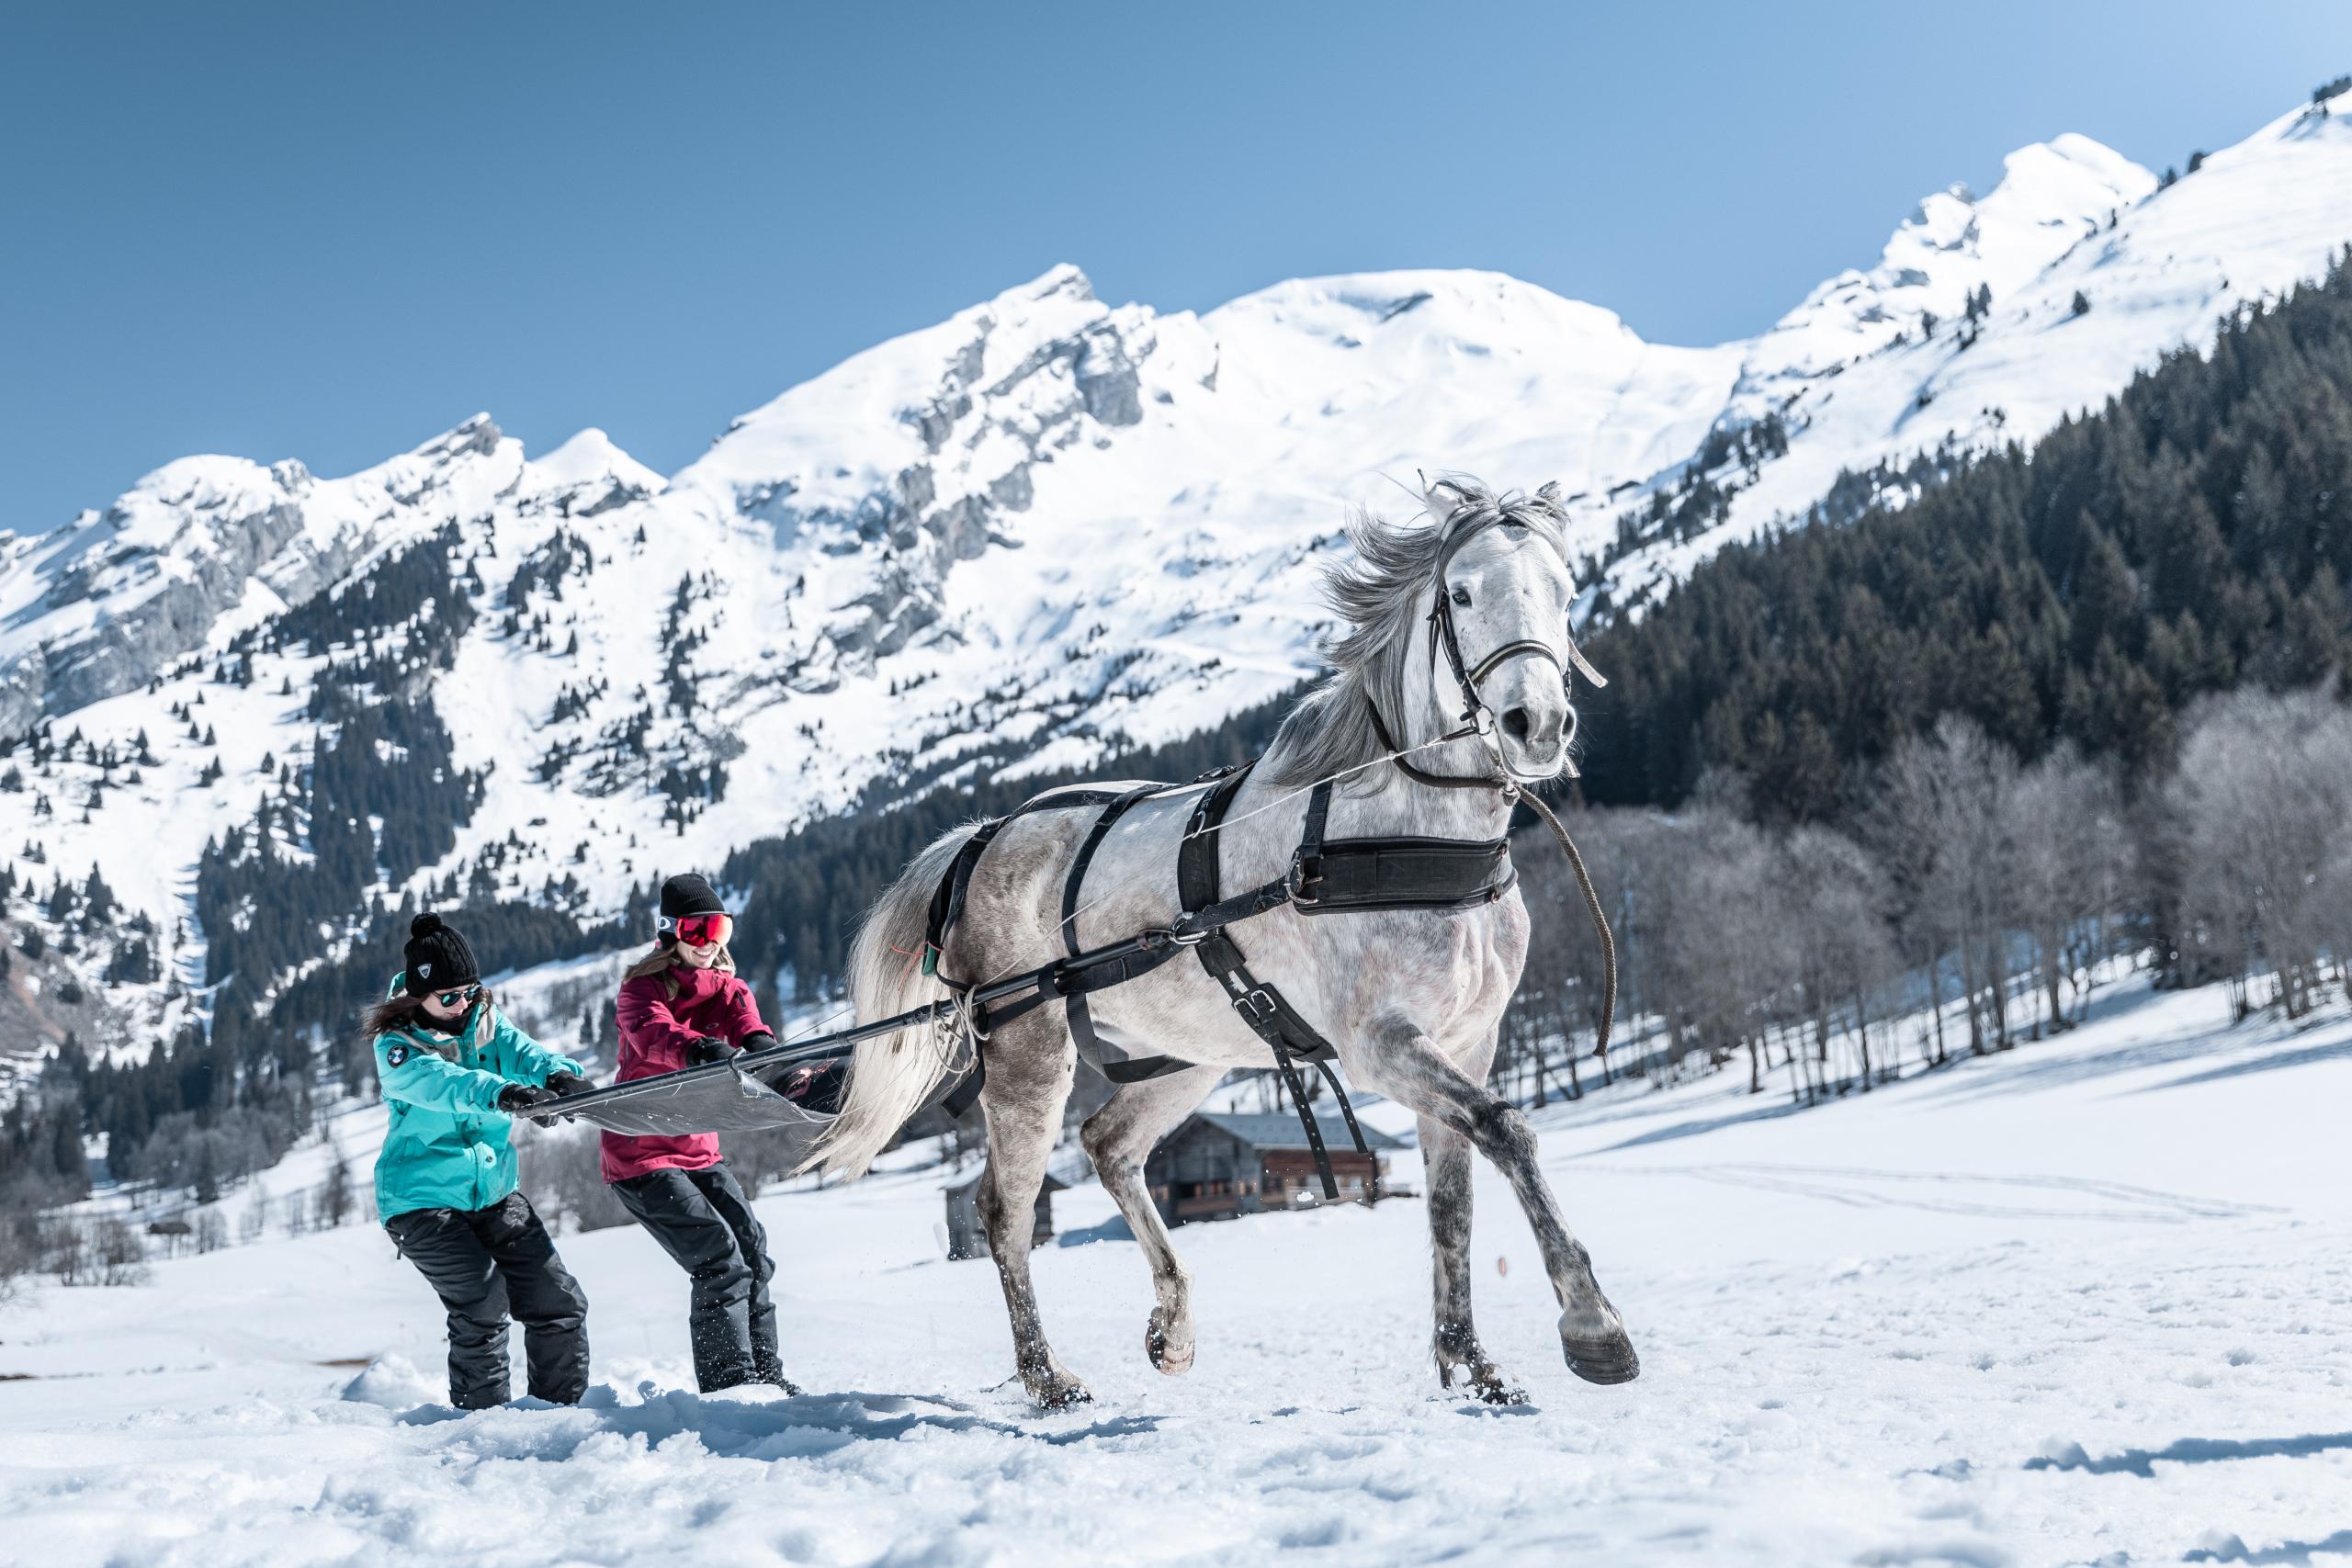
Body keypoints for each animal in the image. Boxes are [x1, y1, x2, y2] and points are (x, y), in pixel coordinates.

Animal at [808, 479, 1636, 1410]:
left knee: (1110, 1146)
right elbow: (1511, 1131)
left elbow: (1452, 1200)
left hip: (1190, 1055)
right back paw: (1047, 1375)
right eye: (1461, 594)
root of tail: (980, 840)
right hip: (1029, 1054)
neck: (1404, 836)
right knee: (1004, 1210)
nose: (1539, 723)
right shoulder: (1380, 1044)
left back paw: (1171, 1321)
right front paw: (1593, 1324)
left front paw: (1471, 1364)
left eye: (1564, 592)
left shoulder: (1471, 1039)